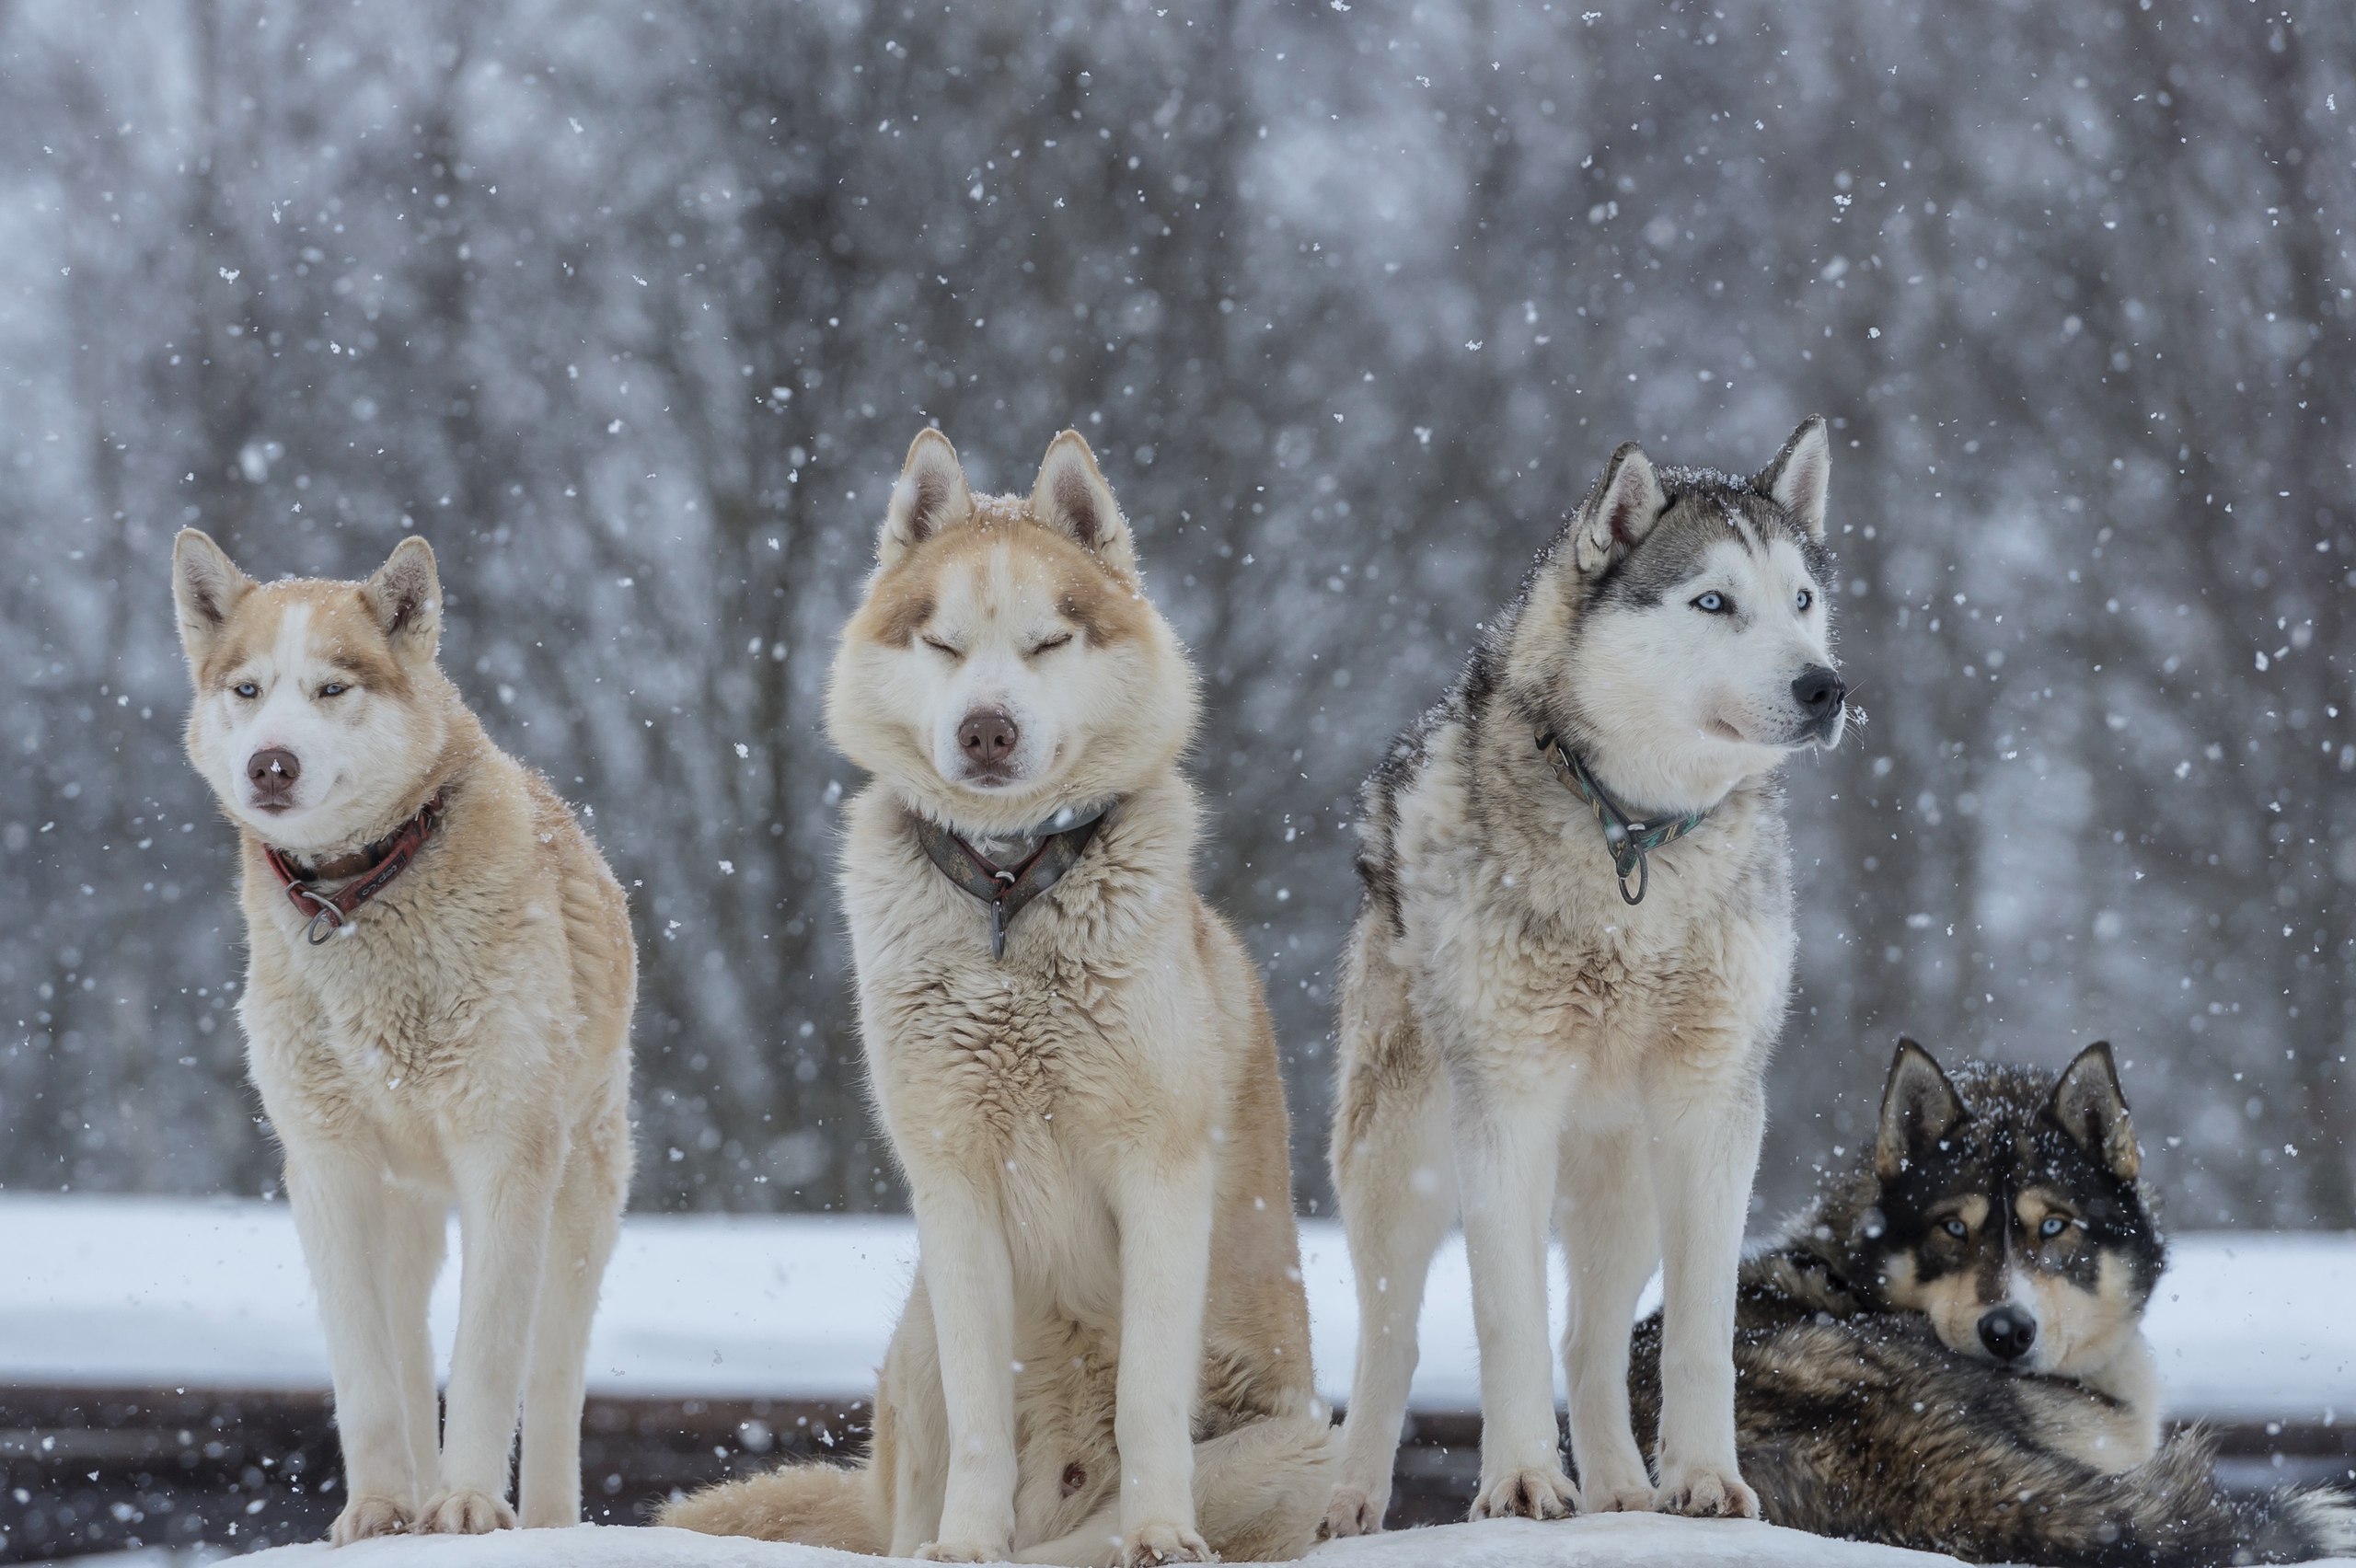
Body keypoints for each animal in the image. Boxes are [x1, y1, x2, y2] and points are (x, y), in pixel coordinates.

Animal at [171, 532, 636, 1535]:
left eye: (332, 688)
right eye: (248, 689)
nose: (271, 764)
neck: (357, 895)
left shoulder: (508, 1154)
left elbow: (490, 1358)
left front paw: (467, 1505)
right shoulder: (326, 1168)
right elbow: (367, 1373)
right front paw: (381, 1509)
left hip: (581, 1197)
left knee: (553, 1378)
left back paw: (543, 1520)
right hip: (405, 1213)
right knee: (411, 1347)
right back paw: (411, 1497)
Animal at [664, 431, 1328, 1562]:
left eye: (1049, 641)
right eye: (942, 644)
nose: (985, 730)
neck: (1011, 894)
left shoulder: (1160, 1174)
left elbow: (1149, 1399)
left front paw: (1160, 1534)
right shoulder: (955, 1185)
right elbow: (982, 1418)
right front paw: (966, 1547)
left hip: (1302, 1439)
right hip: (919, 1328)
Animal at [1328, 421, 1837, 1535]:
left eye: (1801, 601)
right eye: (1713, 602)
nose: (1828, 687)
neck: (1633, 839)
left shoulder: (1713, 1110)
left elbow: (1698, 1336)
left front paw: (1706, 1482)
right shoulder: (1507, 1107)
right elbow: (1506, 1322)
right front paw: (1520, 1486)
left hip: (1627, 1191)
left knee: (1590, 1341)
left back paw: (1623, 1490)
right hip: (1401, 1168)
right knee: (1393, 1340)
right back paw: (1348, 1503)